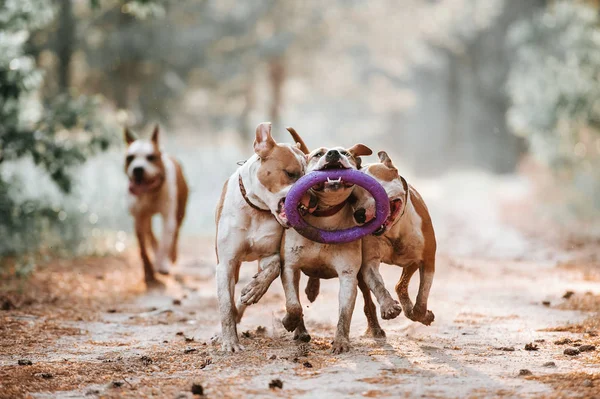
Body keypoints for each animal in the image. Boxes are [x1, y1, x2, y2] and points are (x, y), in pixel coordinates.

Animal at [126, 125, 190, 284]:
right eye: (130, 158)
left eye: (151, 157)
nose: (138, 169)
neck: (150, 192)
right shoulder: (139, 218)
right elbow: (143, 248)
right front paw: (148, 272)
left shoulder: (168, 218)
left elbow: (165, 243)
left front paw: (161, 264)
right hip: (147, 217)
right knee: (151, 234)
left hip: (180, 211)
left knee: (175, 235)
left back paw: (170, 258)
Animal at [213, 122, 314, 354]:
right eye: (291, 174)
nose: (313, 197)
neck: (256, 209)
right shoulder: (226, 263)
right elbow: (225, 306)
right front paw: (230, 342)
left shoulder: (270, 254)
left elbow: (273, 268)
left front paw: (256, 289)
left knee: (293, 299)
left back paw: (300, 329)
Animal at [352, 151, 436, 338]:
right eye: (352, 198)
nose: (359, 214)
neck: (394, 230)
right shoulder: (369, 263)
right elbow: (377, 284)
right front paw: (389, 307)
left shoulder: (427, 259)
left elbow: (423, 295)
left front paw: (421, 314)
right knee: (369, 300)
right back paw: (375, 328)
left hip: (411, 261)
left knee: (401, 285)